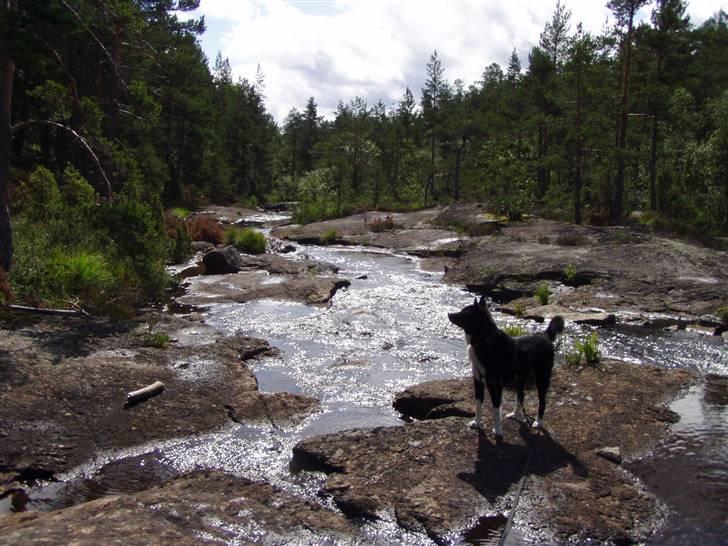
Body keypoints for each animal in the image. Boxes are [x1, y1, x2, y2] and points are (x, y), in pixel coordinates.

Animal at [450, 296, 564, 436]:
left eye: (464, 313)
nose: (449, 314)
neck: (484, 340)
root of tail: (545, 335)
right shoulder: (478, 381)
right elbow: (478, 405)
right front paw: (476, 423)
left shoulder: (495, 384)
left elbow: (496, 408)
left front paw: (498, 430)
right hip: (520, 377)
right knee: (521, 396)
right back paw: (515, 414)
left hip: (542, 376)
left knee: (542, 401)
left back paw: (538, 422)